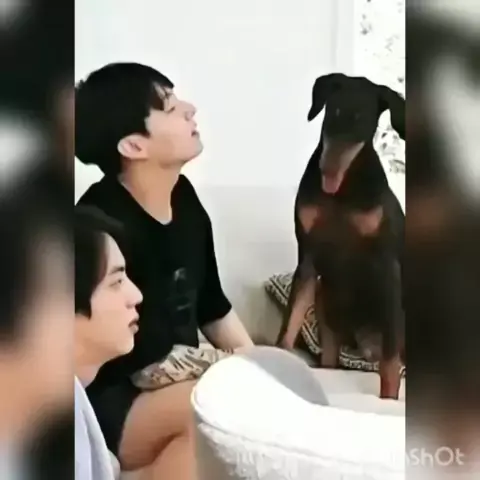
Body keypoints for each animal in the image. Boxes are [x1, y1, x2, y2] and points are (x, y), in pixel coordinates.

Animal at [276, 73, 405, 399]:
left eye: (362, 123)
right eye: (332, 112)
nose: (327, 172)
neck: (341, 195)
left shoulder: (388, 266)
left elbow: (390, 363)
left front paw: (388, 399)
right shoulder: (308, 258)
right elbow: (288, 326)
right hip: (328, 313)